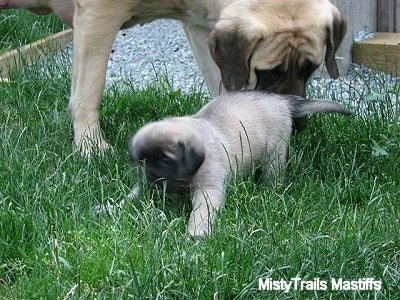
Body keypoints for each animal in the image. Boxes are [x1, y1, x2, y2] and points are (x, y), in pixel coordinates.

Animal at [0, 0, 346, 155]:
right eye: (270, 72)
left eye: (310, 69)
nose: (297, 124)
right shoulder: (99, 14)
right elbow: (89, 90)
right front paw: (91, 146)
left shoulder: (202, 27)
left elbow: (223, 88)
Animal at [130, 91, 352, 237]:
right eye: (142, 161)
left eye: (165, 160)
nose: (151, 176)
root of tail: (280, 100)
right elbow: (136, 192)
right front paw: (124, 204)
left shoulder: (208, 189)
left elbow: (201, 212)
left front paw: (197, 232)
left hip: (274, 154)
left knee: (273, 175)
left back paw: (270, 192)